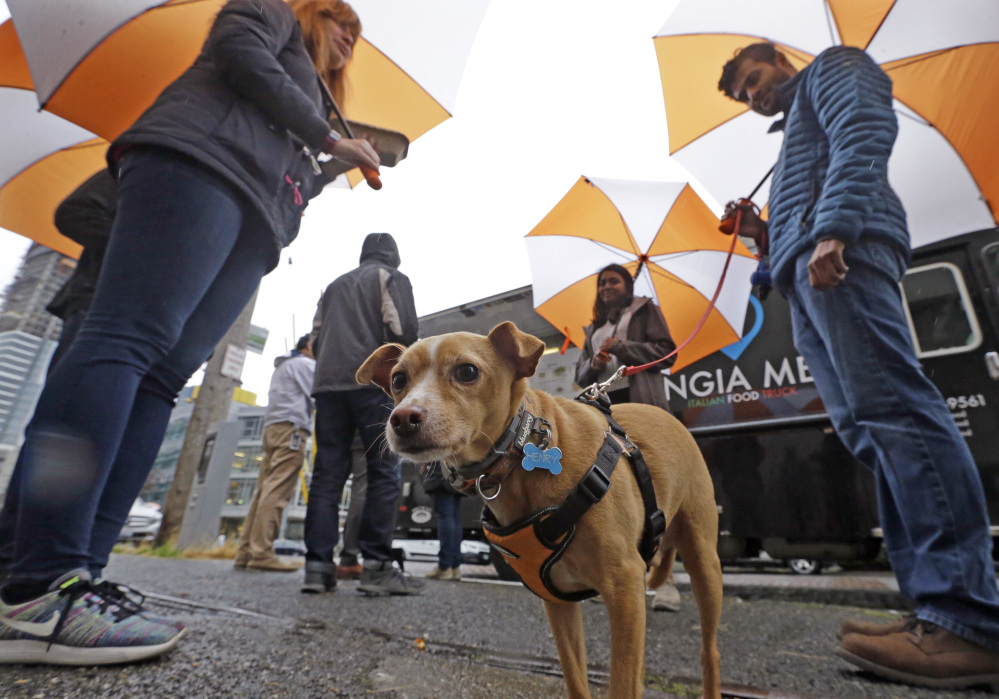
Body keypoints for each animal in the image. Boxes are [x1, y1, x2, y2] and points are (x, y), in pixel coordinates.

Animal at [360, 322, 728, 699]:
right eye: (398, 379)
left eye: (467, 372)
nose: (403, 418)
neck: (519, 452)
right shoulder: (557, 599)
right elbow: (577, 679)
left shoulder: (624, 586)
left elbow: (622, 683)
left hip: (704, 561)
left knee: (709, 651)